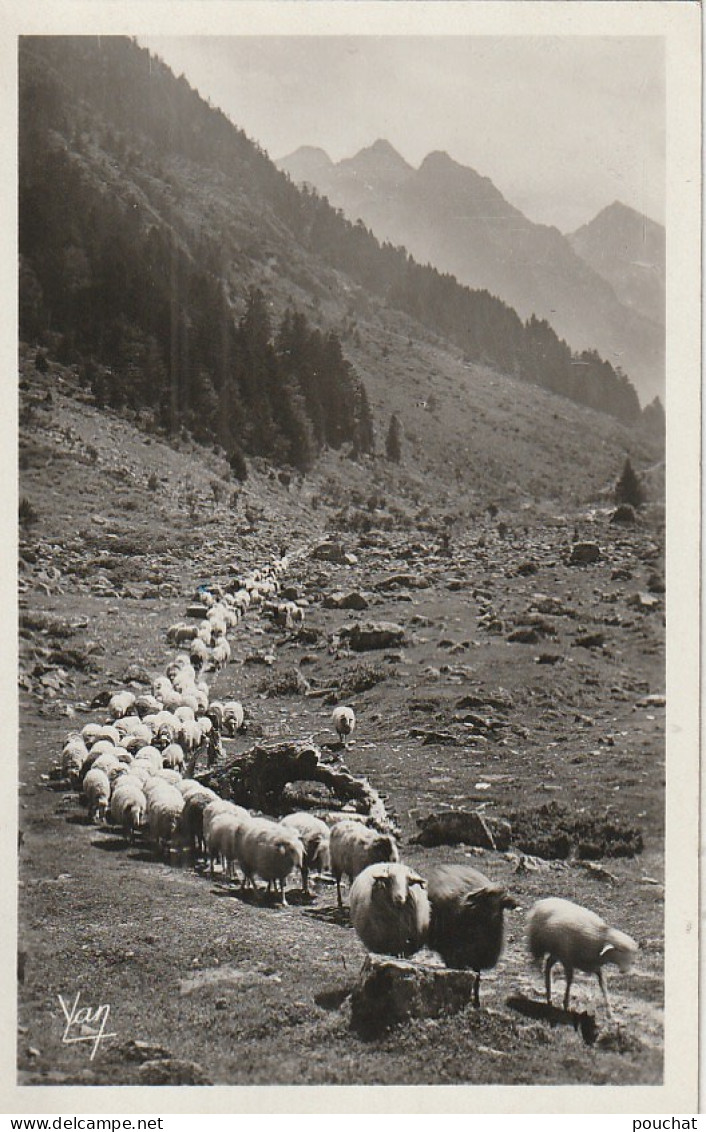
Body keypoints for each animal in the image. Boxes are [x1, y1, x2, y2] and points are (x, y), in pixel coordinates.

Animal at [425, 864, 518, 1009]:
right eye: (488, 895)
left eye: (502, 898)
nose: (470, 897)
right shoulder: (454, 955)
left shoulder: (478, 958)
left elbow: (477, 979)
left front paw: (476, 1002)